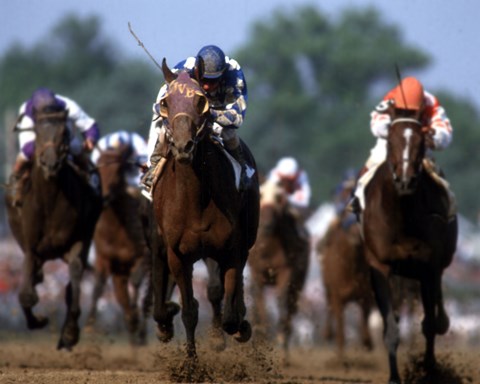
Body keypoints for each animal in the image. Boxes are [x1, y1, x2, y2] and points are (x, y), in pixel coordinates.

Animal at [4, 109, 102, 350]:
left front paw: (69, 333)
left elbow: (73, 283)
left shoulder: (78, 240)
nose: (50, 164)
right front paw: (39, 320)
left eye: (64, 133)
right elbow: (25, 294)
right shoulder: (31, 247)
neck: (50, 201)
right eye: (38, 133)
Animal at [84, 143, 148, 344]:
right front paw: (89, 327)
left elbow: (137, 281)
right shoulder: (104, 258)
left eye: (119, 169)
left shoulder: (144, 255)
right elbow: (98, 287)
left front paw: (136, 316)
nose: (103, 197)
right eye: (98, 165)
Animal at [152, 60, 260, 360]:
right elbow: (189, 311)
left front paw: (238, 327)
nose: (182, 146)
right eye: (165, 102)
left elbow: (230, 315)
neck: (195, 200)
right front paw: (190, 362)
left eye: (201, 101)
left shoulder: (231, 249)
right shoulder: (178, 255)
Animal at [246, 179, 310, 364]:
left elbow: (282, 303)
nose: (266, 225)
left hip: (298, 283)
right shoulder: (257, 273)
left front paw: (281, 348)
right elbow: (259, 305)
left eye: (279, 197)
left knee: (290, 309)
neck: (269, 248)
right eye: (260, 194)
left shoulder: (285, 272)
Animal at [364, 113, 458, 380]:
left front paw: (429, 369)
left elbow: (429, 326)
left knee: (436, 313)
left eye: (422, 143)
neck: (403, 217)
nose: (405, 181)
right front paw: (394, 377)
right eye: (390, 142)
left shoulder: (428, 267)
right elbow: (390, 328)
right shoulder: (380, 265)